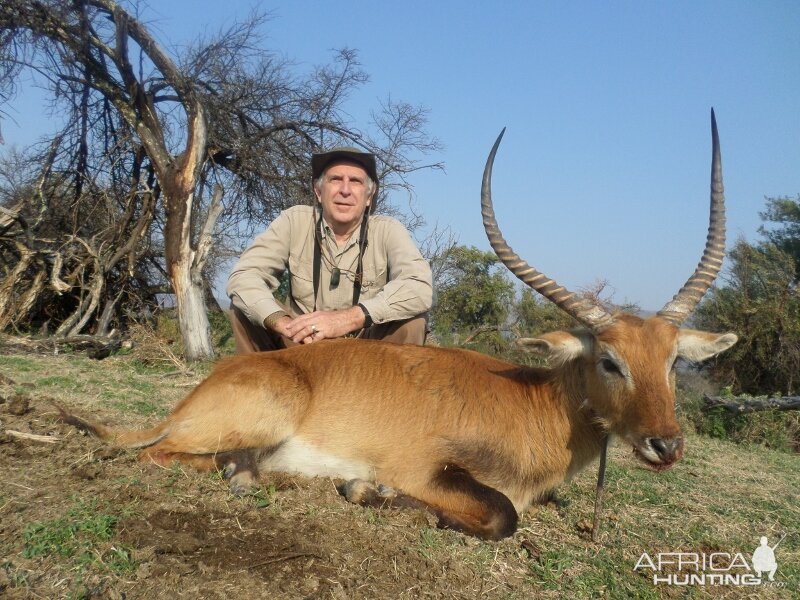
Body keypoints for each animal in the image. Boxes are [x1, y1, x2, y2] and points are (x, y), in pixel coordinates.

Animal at [61, 110, 736, 540]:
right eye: (609, 360)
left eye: (672, 361)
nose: (666, 445)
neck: (534, 403)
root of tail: (196, 395)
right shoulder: (428, 470)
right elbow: (502, 516)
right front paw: (368, 492)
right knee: (162, 454)